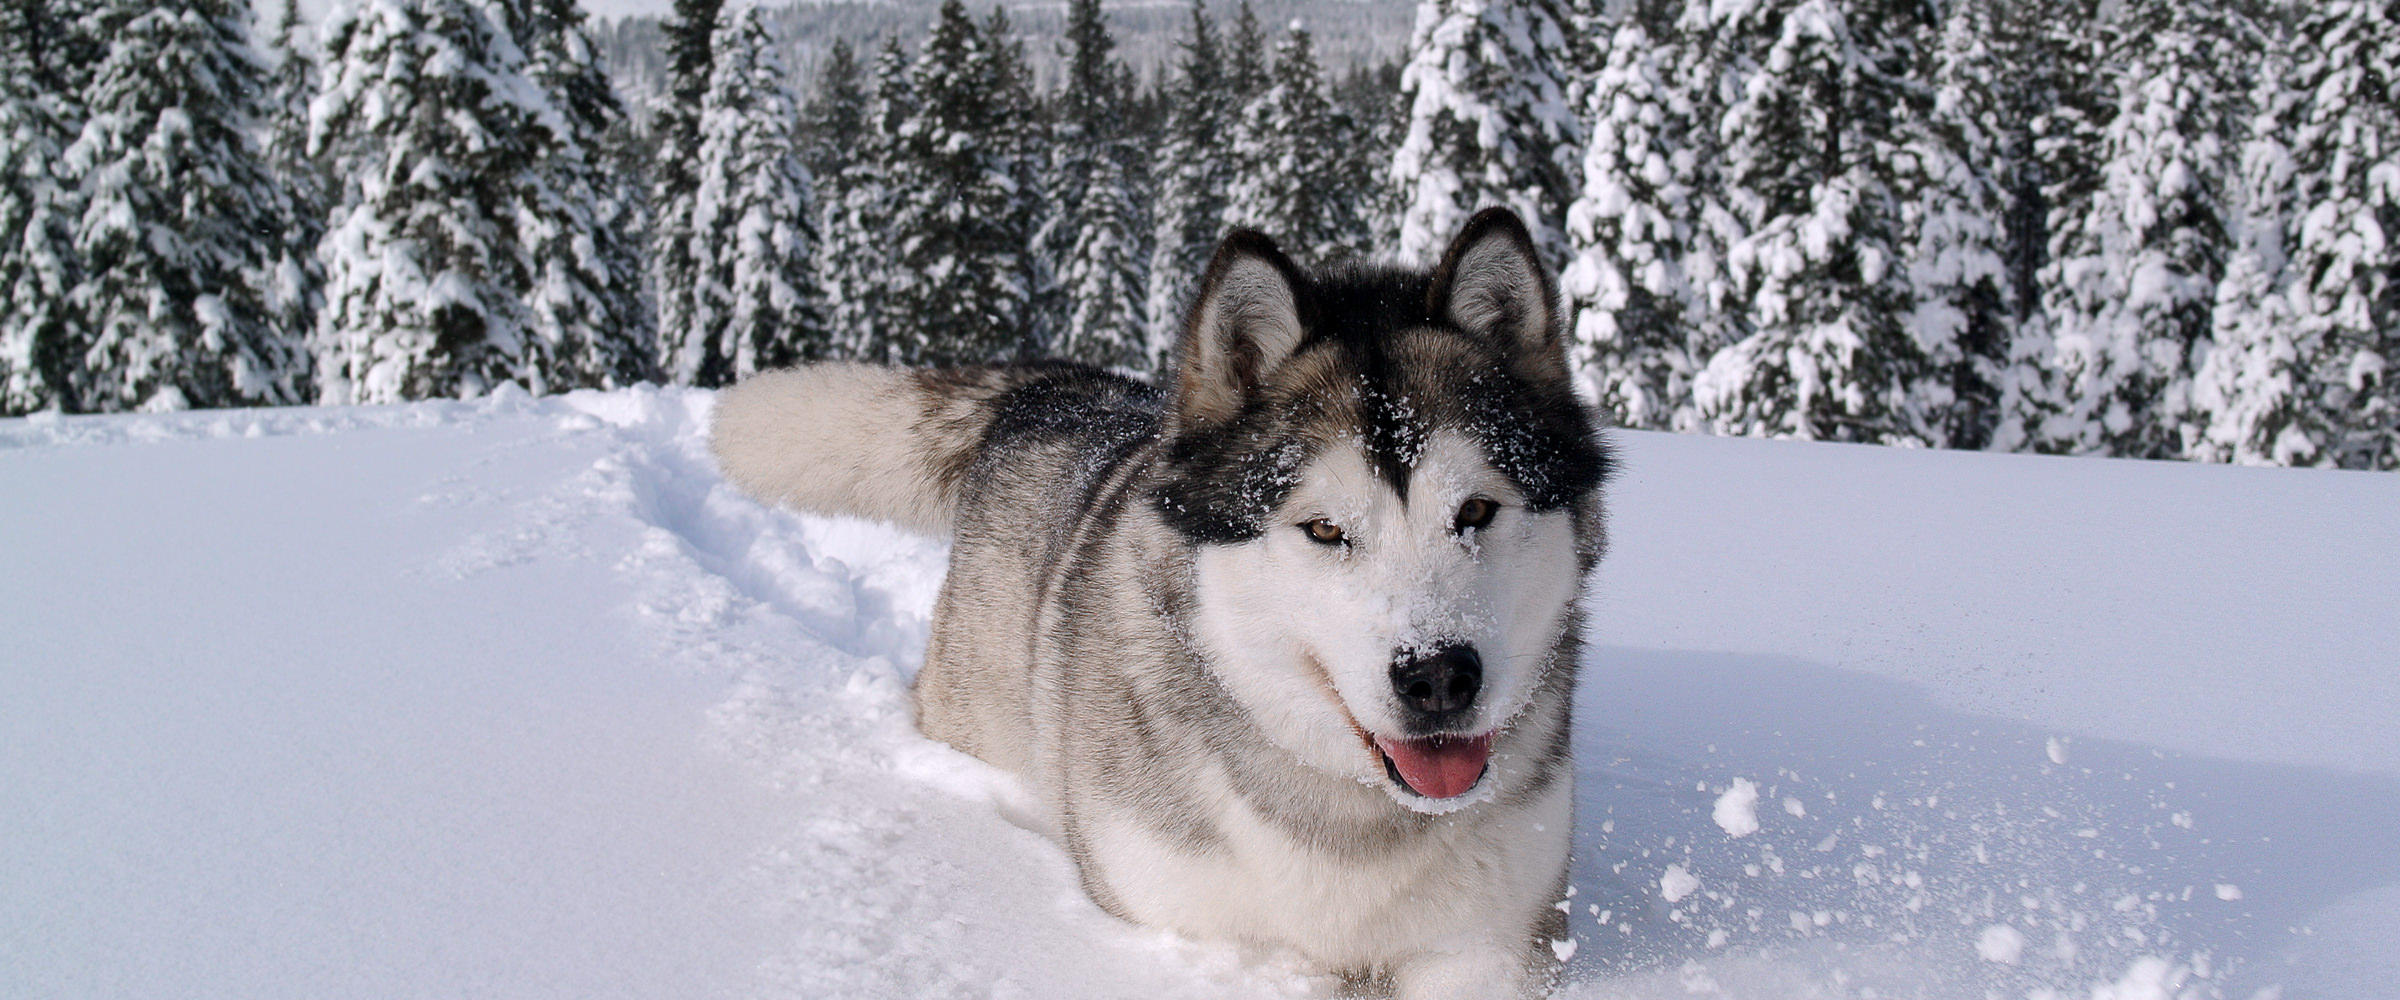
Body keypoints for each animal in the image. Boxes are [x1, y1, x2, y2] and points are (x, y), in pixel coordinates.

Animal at [710, 206, 1612, 992]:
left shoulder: (1491, 944)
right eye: (1324, 530)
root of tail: (1052, 385)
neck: (1350, 823)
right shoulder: (1197, 930)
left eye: (1476, 512)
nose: (1439, 677)